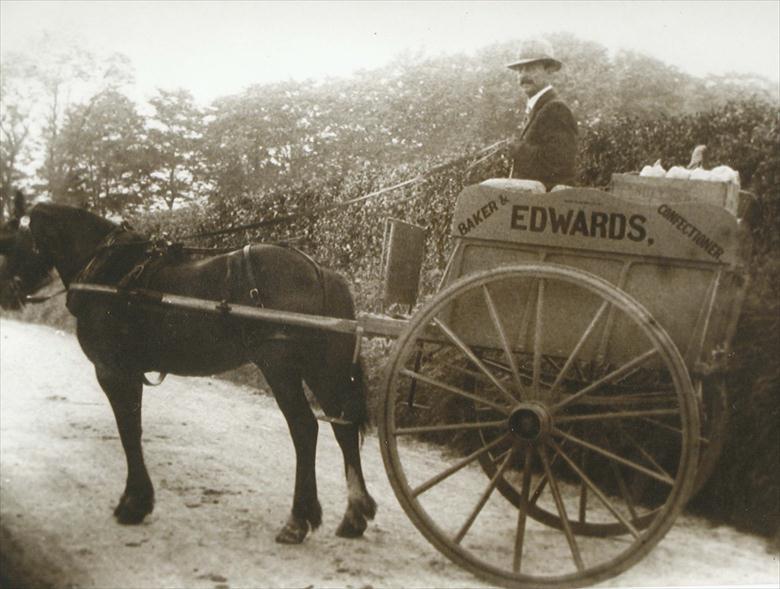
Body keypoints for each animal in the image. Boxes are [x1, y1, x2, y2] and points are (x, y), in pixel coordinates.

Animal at [0, 196, 378, 544]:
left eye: (8, 241)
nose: (7, 295)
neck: (110, 272)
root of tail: (318, 271)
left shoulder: (113, 370)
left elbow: (128, 431)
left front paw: (133, 502)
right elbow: (132, 429)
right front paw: (138, 500)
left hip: (280, 365)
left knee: (304, 428)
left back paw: (298, 520)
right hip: (322, 369)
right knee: (343, 429)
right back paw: (354, 515)